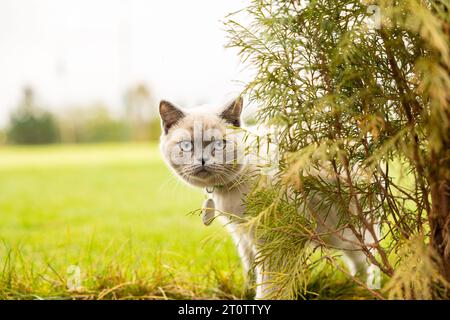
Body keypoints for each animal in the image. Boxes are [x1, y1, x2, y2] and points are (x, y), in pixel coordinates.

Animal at [158, 97, 376, 300]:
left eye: (220, 144)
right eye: (187, 145)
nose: (202, 160)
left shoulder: (272, 239)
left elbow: (269, 284)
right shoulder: (242, 235)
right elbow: (250, 270)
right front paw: (245, 293)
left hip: (345, 229)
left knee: (369, 258)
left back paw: (367, 290)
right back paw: (356, 288)